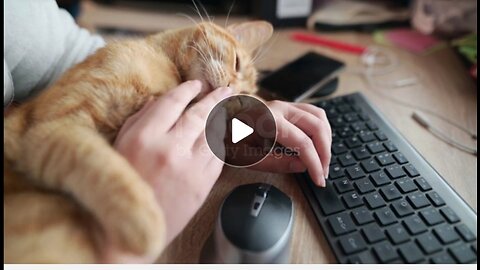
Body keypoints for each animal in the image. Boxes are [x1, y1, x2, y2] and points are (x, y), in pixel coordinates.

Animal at [3, 21, 272, 264]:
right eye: (236, 63)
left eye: (240, 103)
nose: (229, 91)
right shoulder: (55, 124)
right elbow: (100, 164)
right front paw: (145, 224)